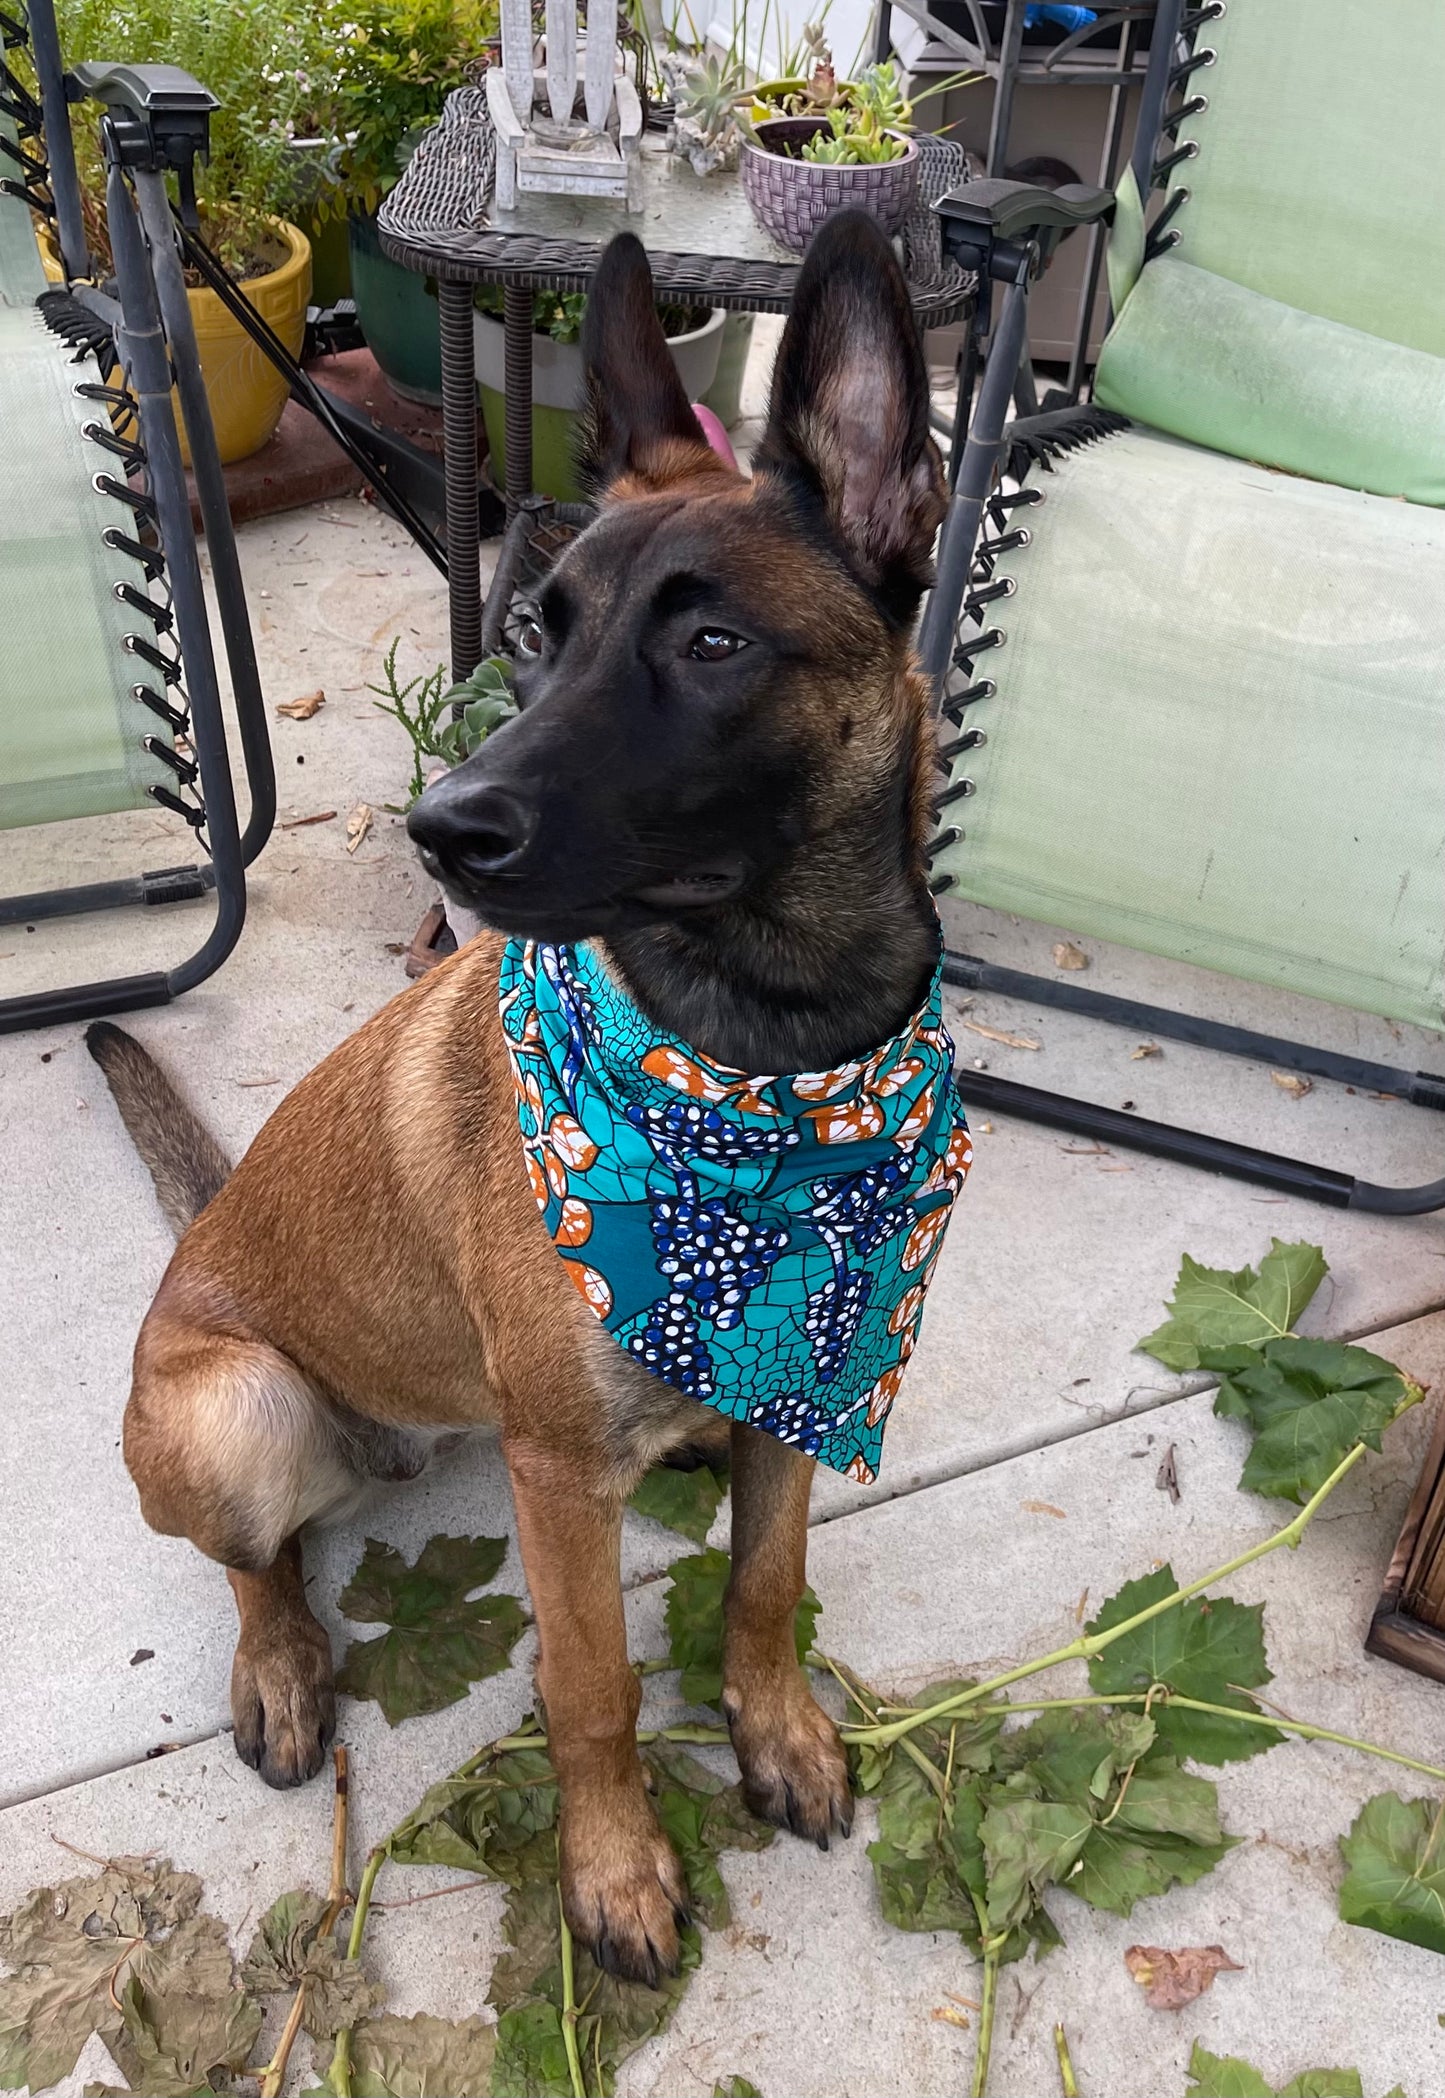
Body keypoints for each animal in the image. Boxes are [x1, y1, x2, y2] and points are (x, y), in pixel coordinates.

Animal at [95, 208, 964, 1980]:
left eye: (712, 642)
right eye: (534, 633)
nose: (443, 827)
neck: (773, 1070)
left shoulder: (805, 1392)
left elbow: (764, 1583)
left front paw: (775, 1727)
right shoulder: (559, 1478)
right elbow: (593, 1683)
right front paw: (615, 1866)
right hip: (235, 1408)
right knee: (259, 1563)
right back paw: (281, 1665)